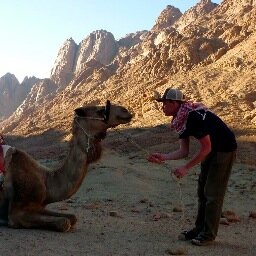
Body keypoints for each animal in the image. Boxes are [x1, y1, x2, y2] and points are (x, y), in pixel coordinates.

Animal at [0, 100, 132, 232]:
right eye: (100, 111)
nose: (126, 111)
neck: (46, 181)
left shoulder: (39, 206)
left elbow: (72, 217)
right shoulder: (16, 213)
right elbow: (64, 222)